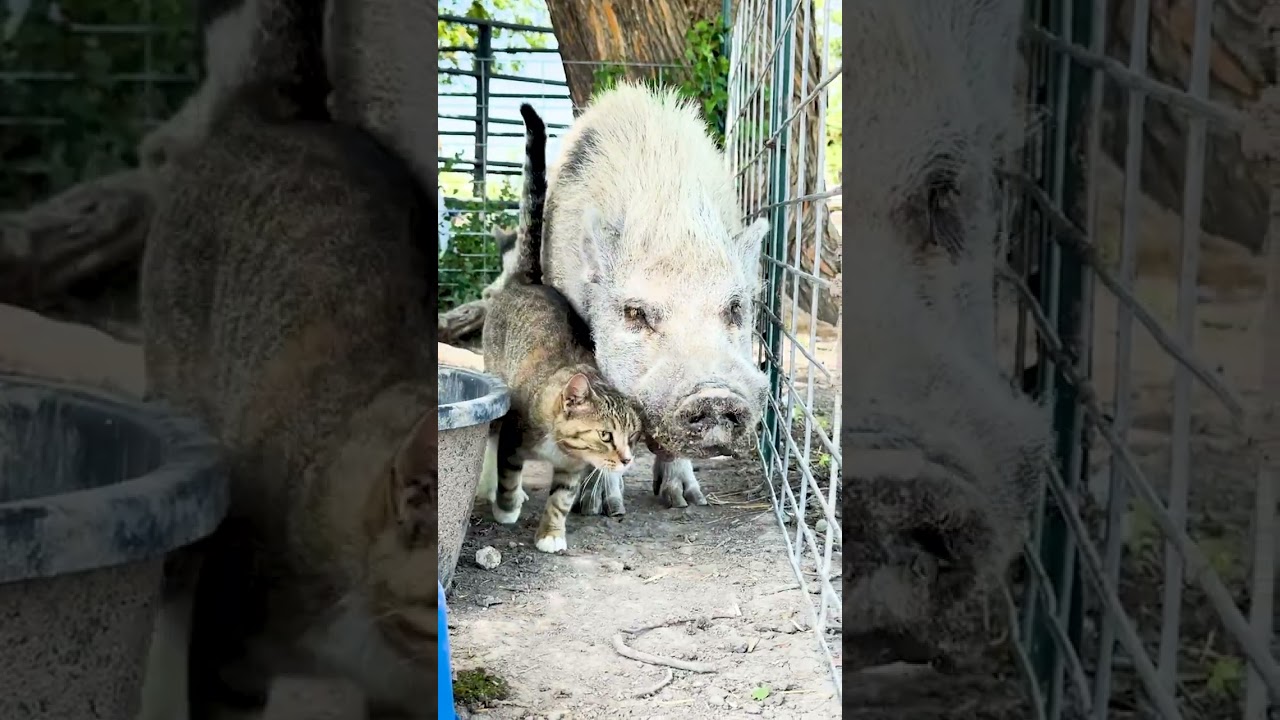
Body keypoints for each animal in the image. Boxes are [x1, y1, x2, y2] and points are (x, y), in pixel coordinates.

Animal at [538, 82, 772, 516]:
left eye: (735, 307)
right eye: (635, 312)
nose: (714, 395)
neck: (672, 221)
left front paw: (684, 501)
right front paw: (603, 509)